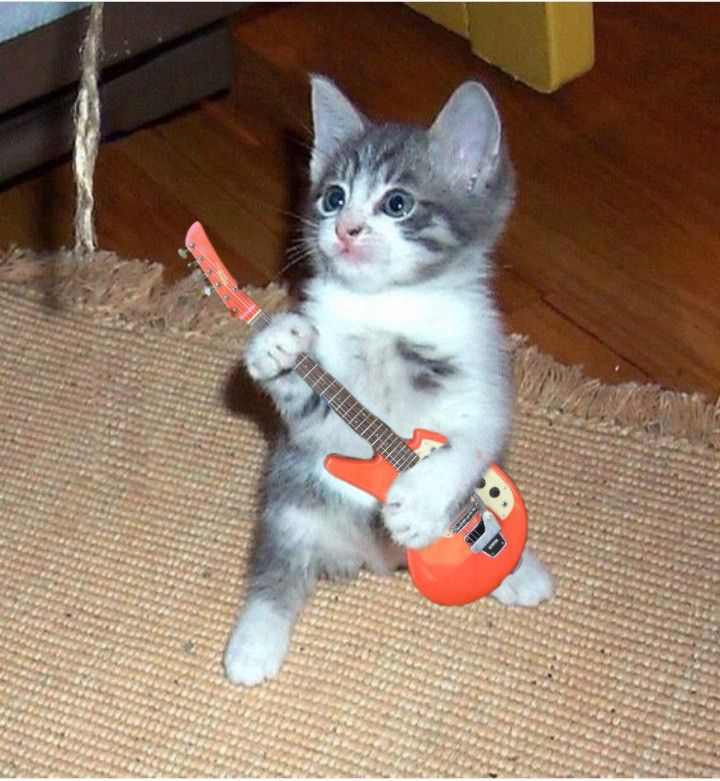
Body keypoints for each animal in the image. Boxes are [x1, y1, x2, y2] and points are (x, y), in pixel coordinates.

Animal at [225, 73, 556, 684]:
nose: (346, 228)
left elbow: (471, 442)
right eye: (333, 197)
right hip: (291, 502)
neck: (388, 306)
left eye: (396, 203)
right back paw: (254, 641)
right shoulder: (321, 429)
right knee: (278, 568)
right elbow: (309, 406)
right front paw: (279, 345)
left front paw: (420, 501)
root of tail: (375, 559)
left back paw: (517, 571)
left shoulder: (483, 376)